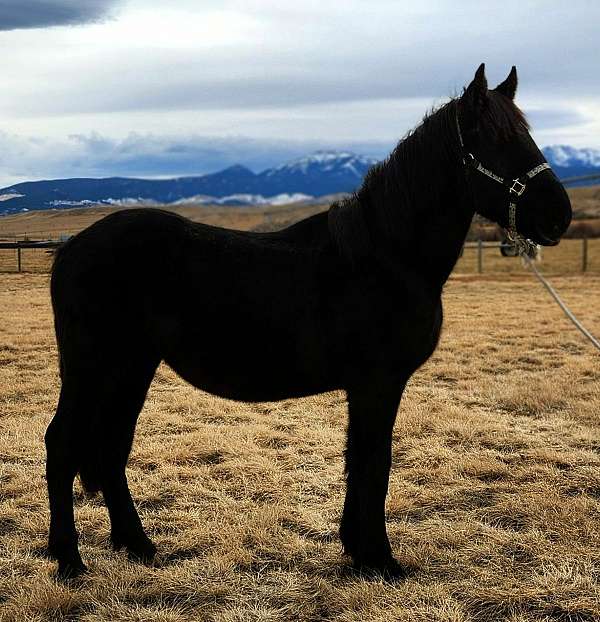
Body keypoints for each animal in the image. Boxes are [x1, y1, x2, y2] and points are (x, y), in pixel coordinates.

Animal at [44, 64, 568, 580]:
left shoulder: (369, 386)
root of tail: (71, 248)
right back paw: (68, 561)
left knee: (112, 445)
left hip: (132, 367)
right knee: (63, 443)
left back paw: (137, 546)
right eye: (493, 139)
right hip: (96, 368)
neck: (385, 256)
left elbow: (360, 461)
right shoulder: (378, 382)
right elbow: (375, 463)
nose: (558, 216)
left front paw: (358, 551)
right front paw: (381, 560)